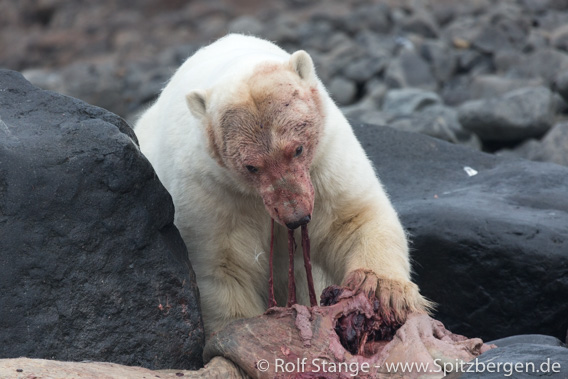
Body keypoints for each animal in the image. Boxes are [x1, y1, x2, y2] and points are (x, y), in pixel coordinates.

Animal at [136, 32, 430, 336]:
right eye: (251, 166)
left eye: (297, 149)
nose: (295, 216)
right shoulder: (210, 191)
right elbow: (223, 266)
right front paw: (244, 329)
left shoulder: (325, 161)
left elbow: (353, 220)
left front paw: (383, 291)